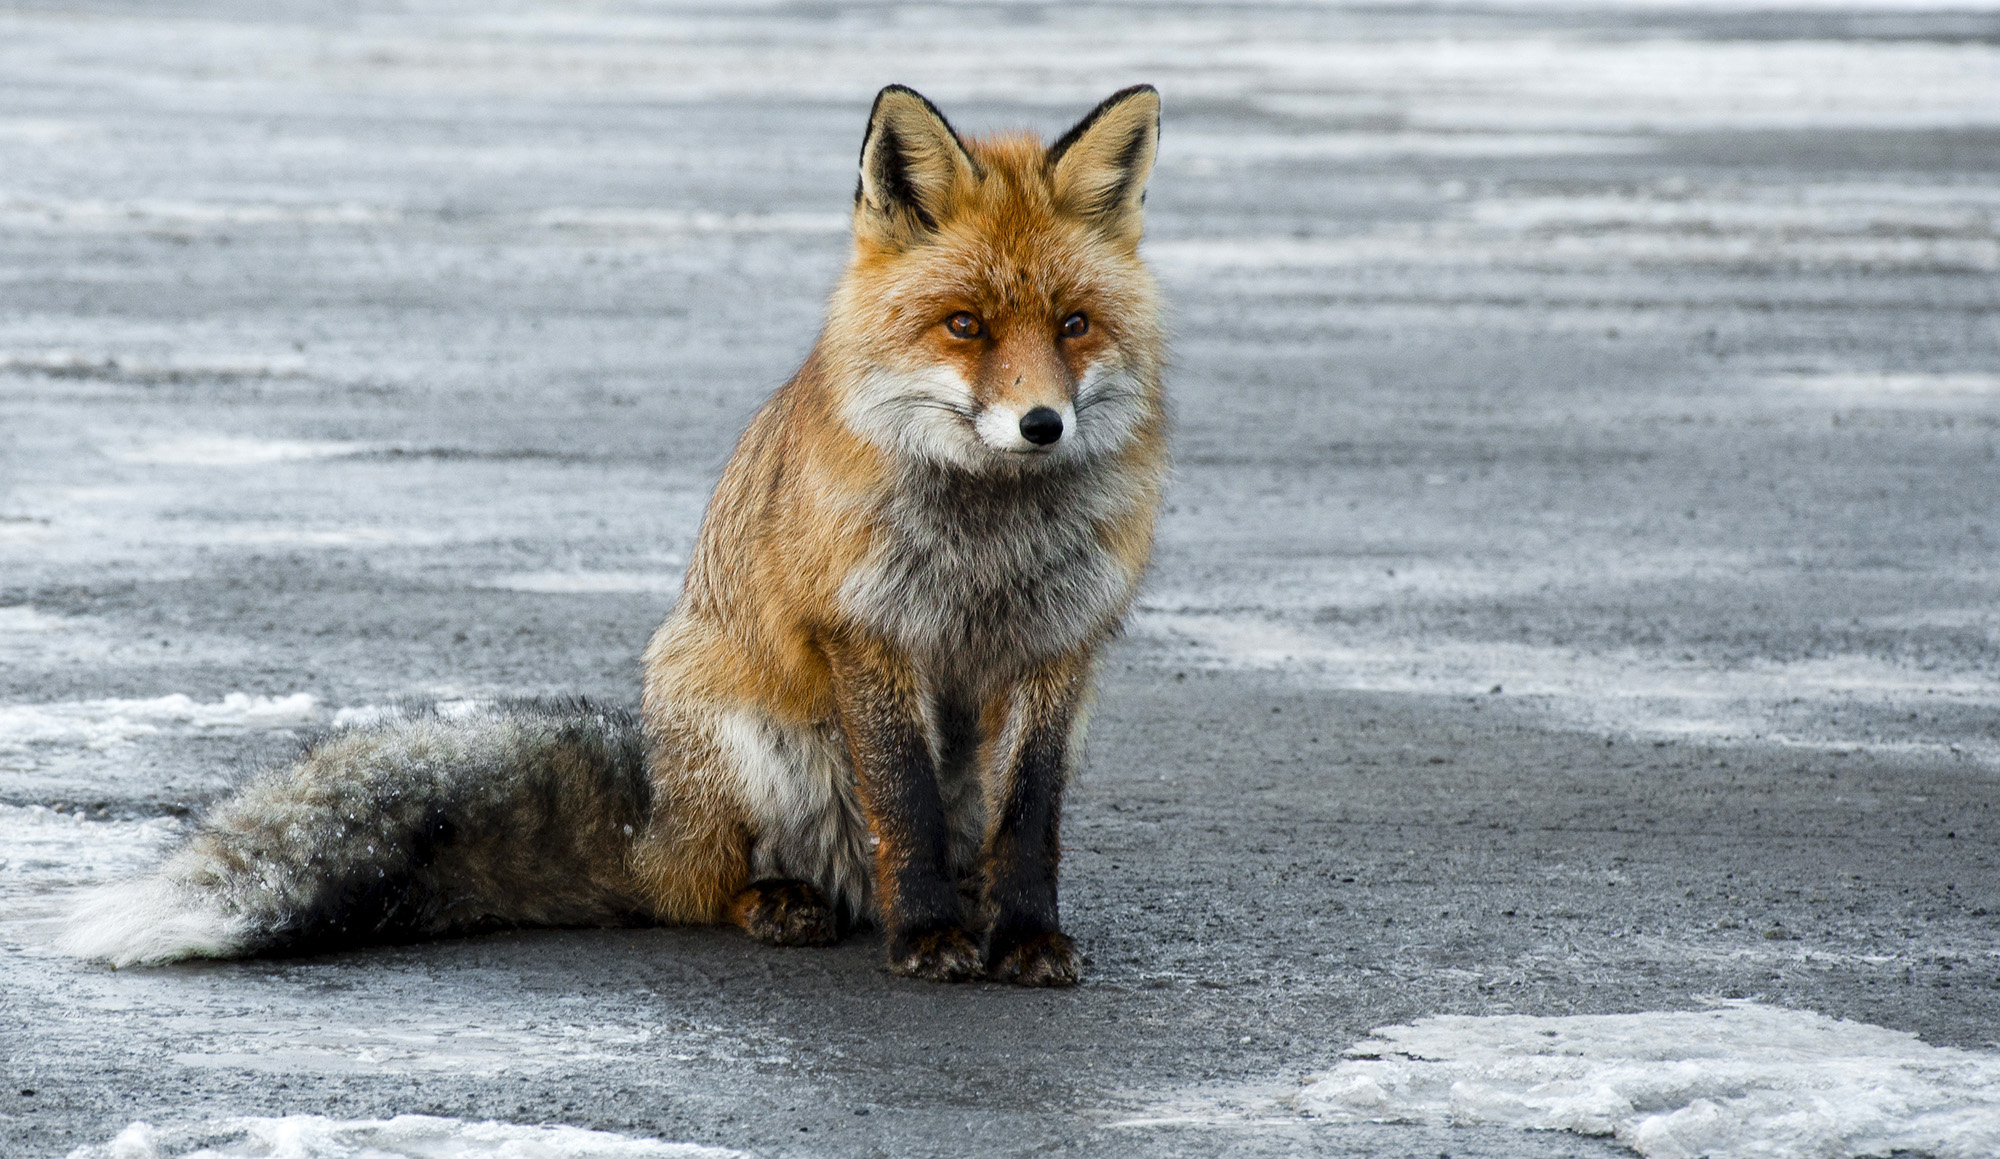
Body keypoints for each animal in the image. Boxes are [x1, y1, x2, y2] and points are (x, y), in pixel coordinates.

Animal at [60, 84, 1168, 987]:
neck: (991, 535)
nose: (1041, 424)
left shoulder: (1059, 648)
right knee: (711, 891)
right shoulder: (868, 632)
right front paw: (928, 938)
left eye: (1072, 325)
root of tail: (651, 823)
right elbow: (907, 809)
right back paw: (791, 904)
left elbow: (1029, 822)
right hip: (748, 734)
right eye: (964, 325)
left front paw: (1023, 938)